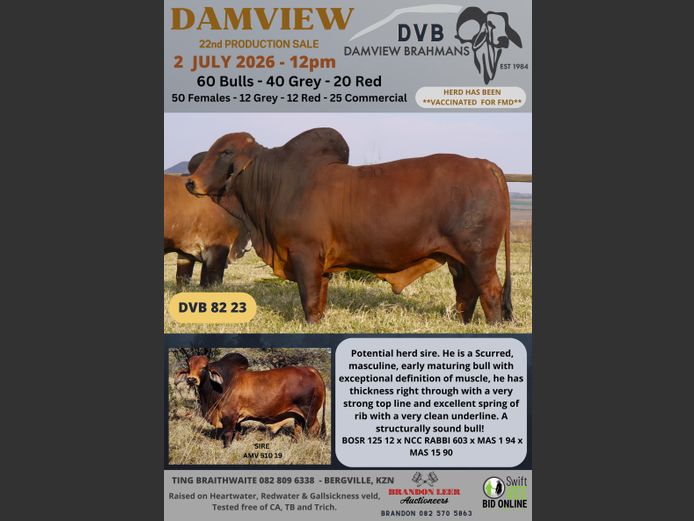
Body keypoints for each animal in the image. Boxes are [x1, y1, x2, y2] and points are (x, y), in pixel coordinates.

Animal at [174, 353, 327, 447]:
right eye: (189, 366)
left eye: (204, 367)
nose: (191, 379)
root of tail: (311, 370)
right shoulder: (237, 419)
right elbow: (237, 433)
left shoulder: (229, 415)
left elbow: (228, 434)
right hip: (298, 414)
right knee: (298, 428)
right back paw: (293, 444)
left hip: (310, 413)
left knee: (313, 429)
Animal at [185, 127, 512, 324]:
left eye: (225, 152)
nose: (190, 183)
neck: (275, 183)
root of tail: (484, 164)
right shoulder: (321, 264)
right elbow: (319, 297)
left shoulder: (305, 254)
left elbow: (308, 295)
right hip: (459, 259)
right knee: (466, 290)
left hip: (479, 254)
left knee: (490, 290)